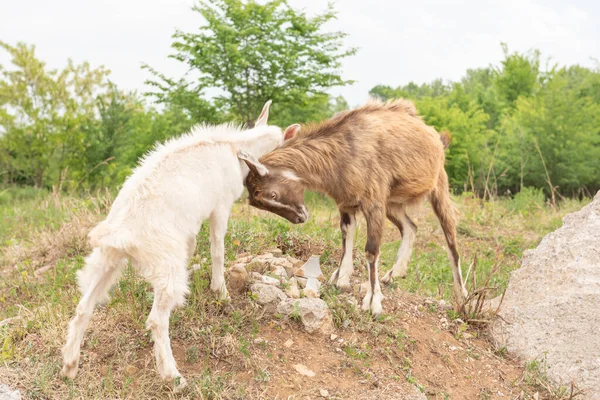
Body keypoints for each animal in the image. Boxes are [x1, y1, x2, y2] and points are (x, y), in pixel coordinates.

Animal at [61, 101, 300, 390]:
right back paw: (173, 376)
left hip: (106, 259)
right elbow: (217, 248)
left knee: (84, 306)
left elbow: (194, 244)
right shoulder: (220, 206)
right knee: (156, 319)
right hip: (165, 263)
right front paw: (221, 292)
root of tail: (120, 232)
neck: (235, 147)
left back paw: (70, 366)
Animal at [239, 97, 468, 316]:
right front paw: (341, 278)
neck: (340, 154)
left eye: (272, 194)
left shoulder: (374, 201)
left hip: (438, 187)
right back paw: (393, 274)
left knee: (451, 241)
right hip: (392, 203)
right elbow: (346, 236)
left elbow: (371, 250)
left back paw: (462, 296)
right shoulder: (347, 203)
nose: (299, 218)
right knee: (411, 227)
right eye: (256, 202)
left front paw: (373, 302)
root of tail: (435, 137)